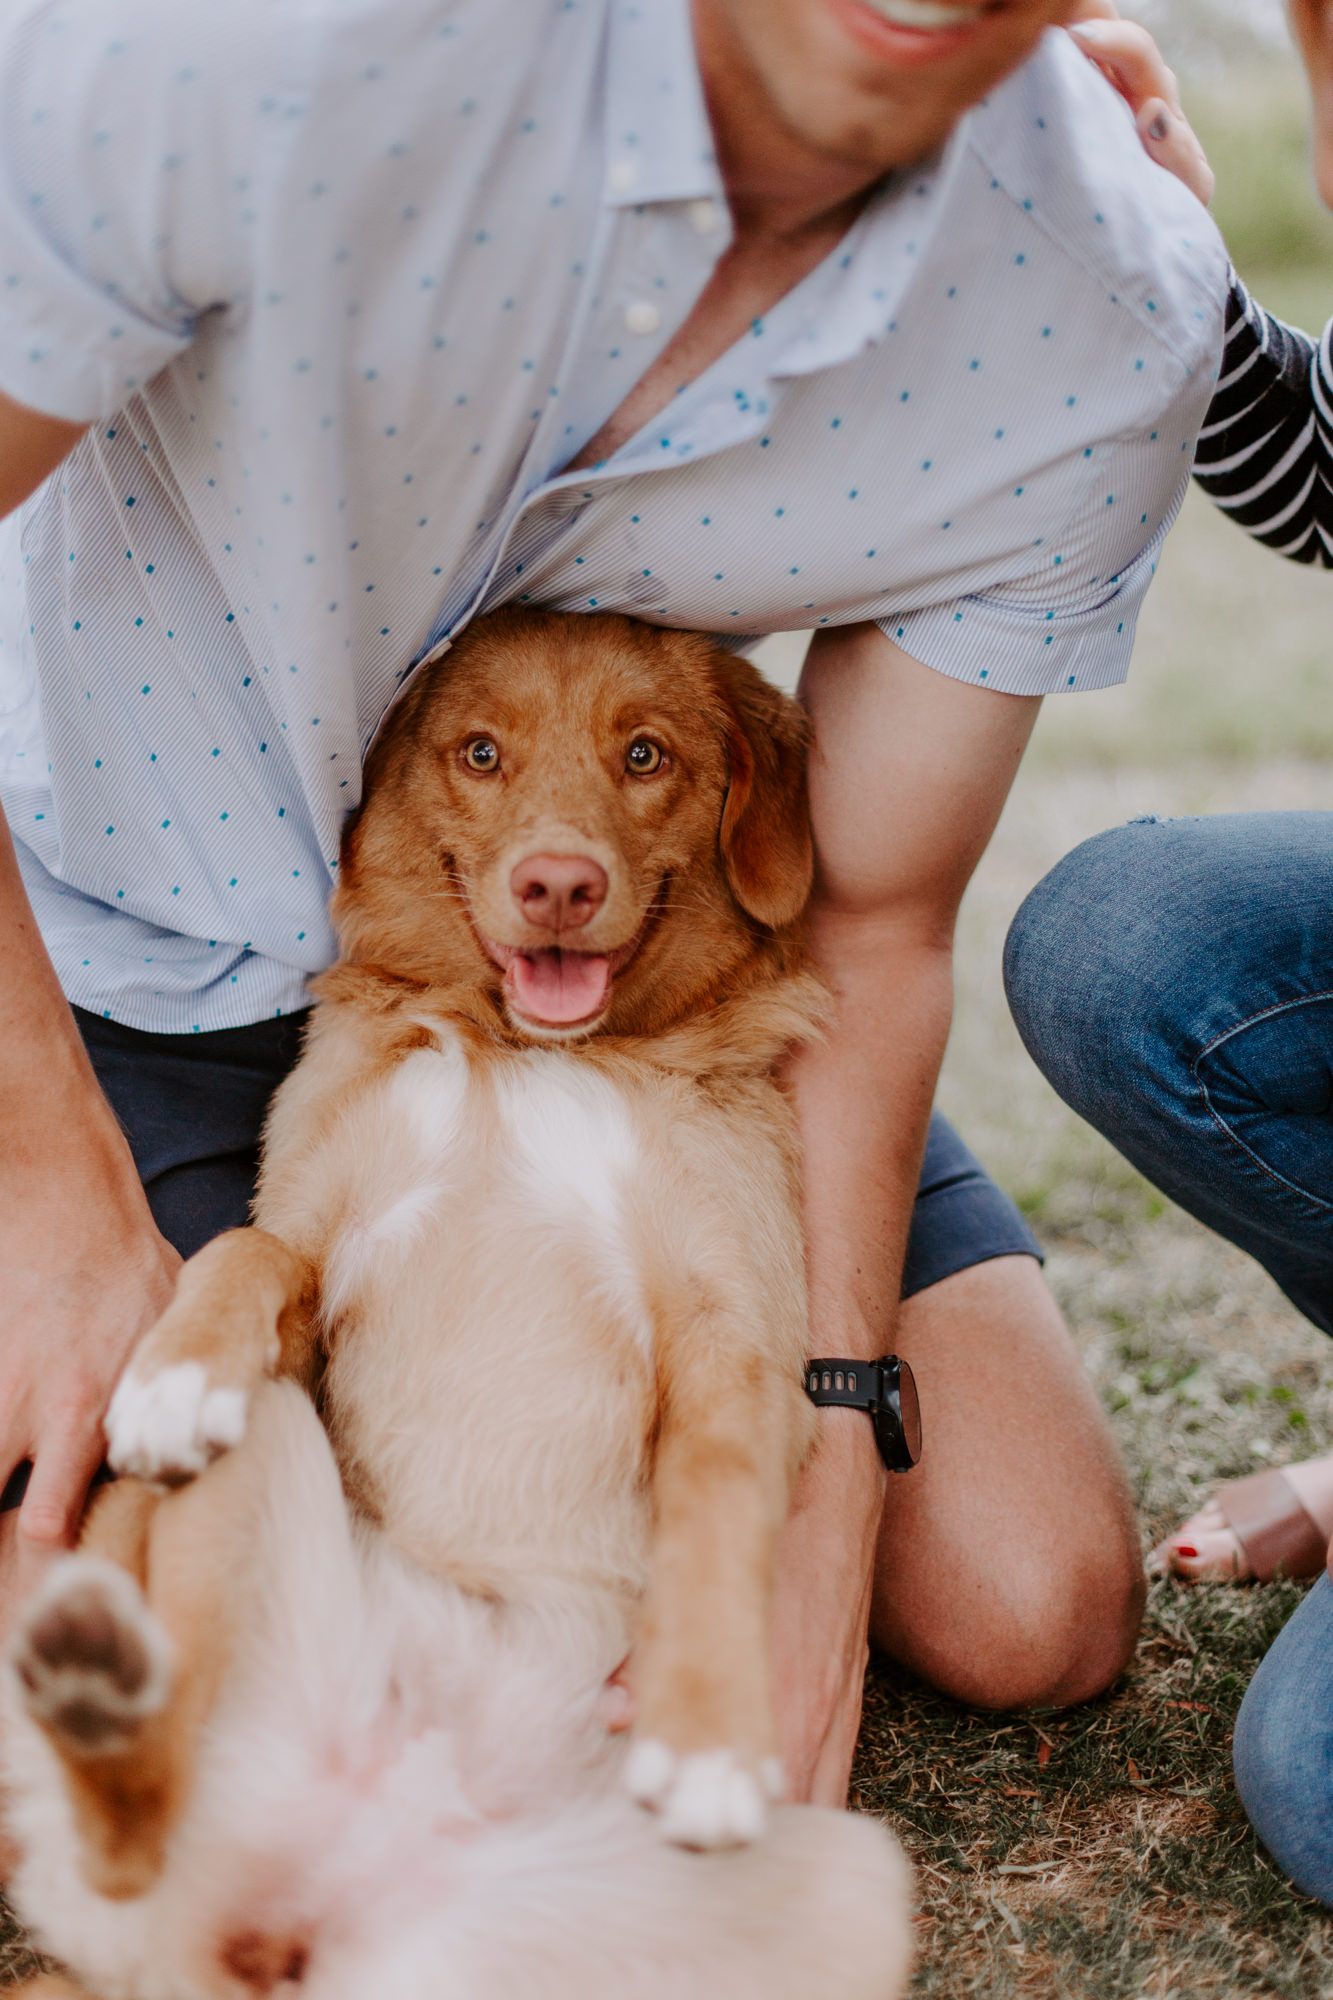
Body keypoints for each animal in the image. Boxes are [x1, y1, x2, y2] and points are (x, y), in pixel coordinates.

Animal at [2, 608, 912, 2000]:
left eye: (644, 754)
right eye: (480, 751)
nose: (558, 885)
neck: (531, 1054)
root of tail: (285, 1930)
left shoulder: (737, 1351)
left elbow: (713, 1506)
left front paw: (708, 1735)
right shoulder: (314, 1246)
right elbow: (240, 1253)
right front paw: (172, 1369)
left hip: (858, 1891)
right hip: (246, 1455)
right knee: (129, 1841)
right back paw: (102, 1686)